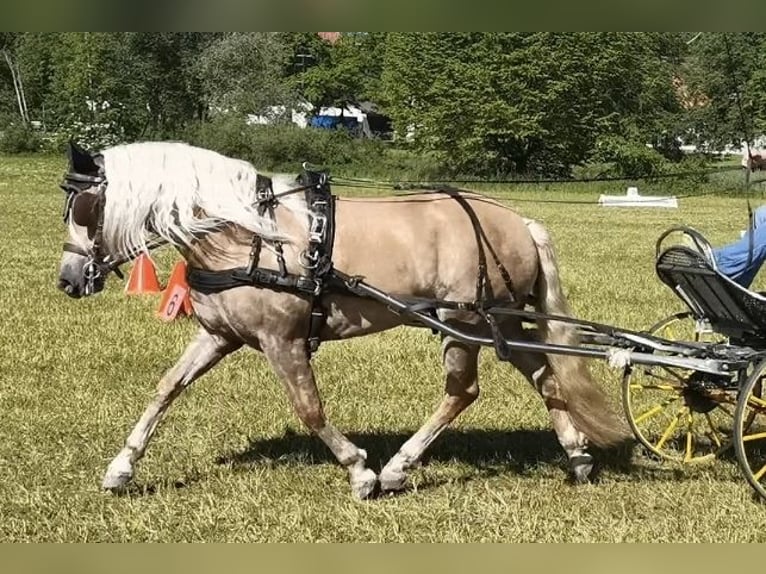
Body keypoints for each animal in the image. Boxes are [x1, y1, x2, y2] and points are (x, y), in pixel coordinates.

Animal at [55, 141, 632, 500]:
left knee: (463, 391)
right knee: (543, 373)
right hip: (500, 324)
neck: (245, 234)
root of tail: (519, 220)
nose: (68, 279)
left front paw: (360, 471)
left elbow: (309, 409)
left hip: (463, 320)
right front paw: (122, 467)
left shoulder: (282, 340)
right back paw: (576, 455)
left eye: (83, 207)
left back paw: (398, 468)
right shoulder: (219, 335)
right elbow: (167, 388)